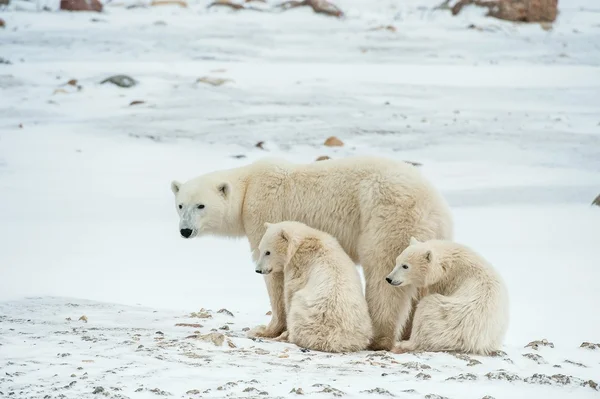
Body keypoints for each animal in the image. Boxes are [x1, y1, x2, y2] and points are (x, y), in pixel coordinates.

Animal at [171, 156, 452, 350]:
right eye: (180, 205)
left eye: (201, 205)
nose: (185, 230)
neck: (248, 187)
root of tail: (432, 205)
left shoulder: (265, 211)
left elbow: (276, 276)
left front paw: (266, 329)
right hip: (431, 235)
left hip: (387, 217)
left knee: (384, 273)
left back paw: (379, 337)